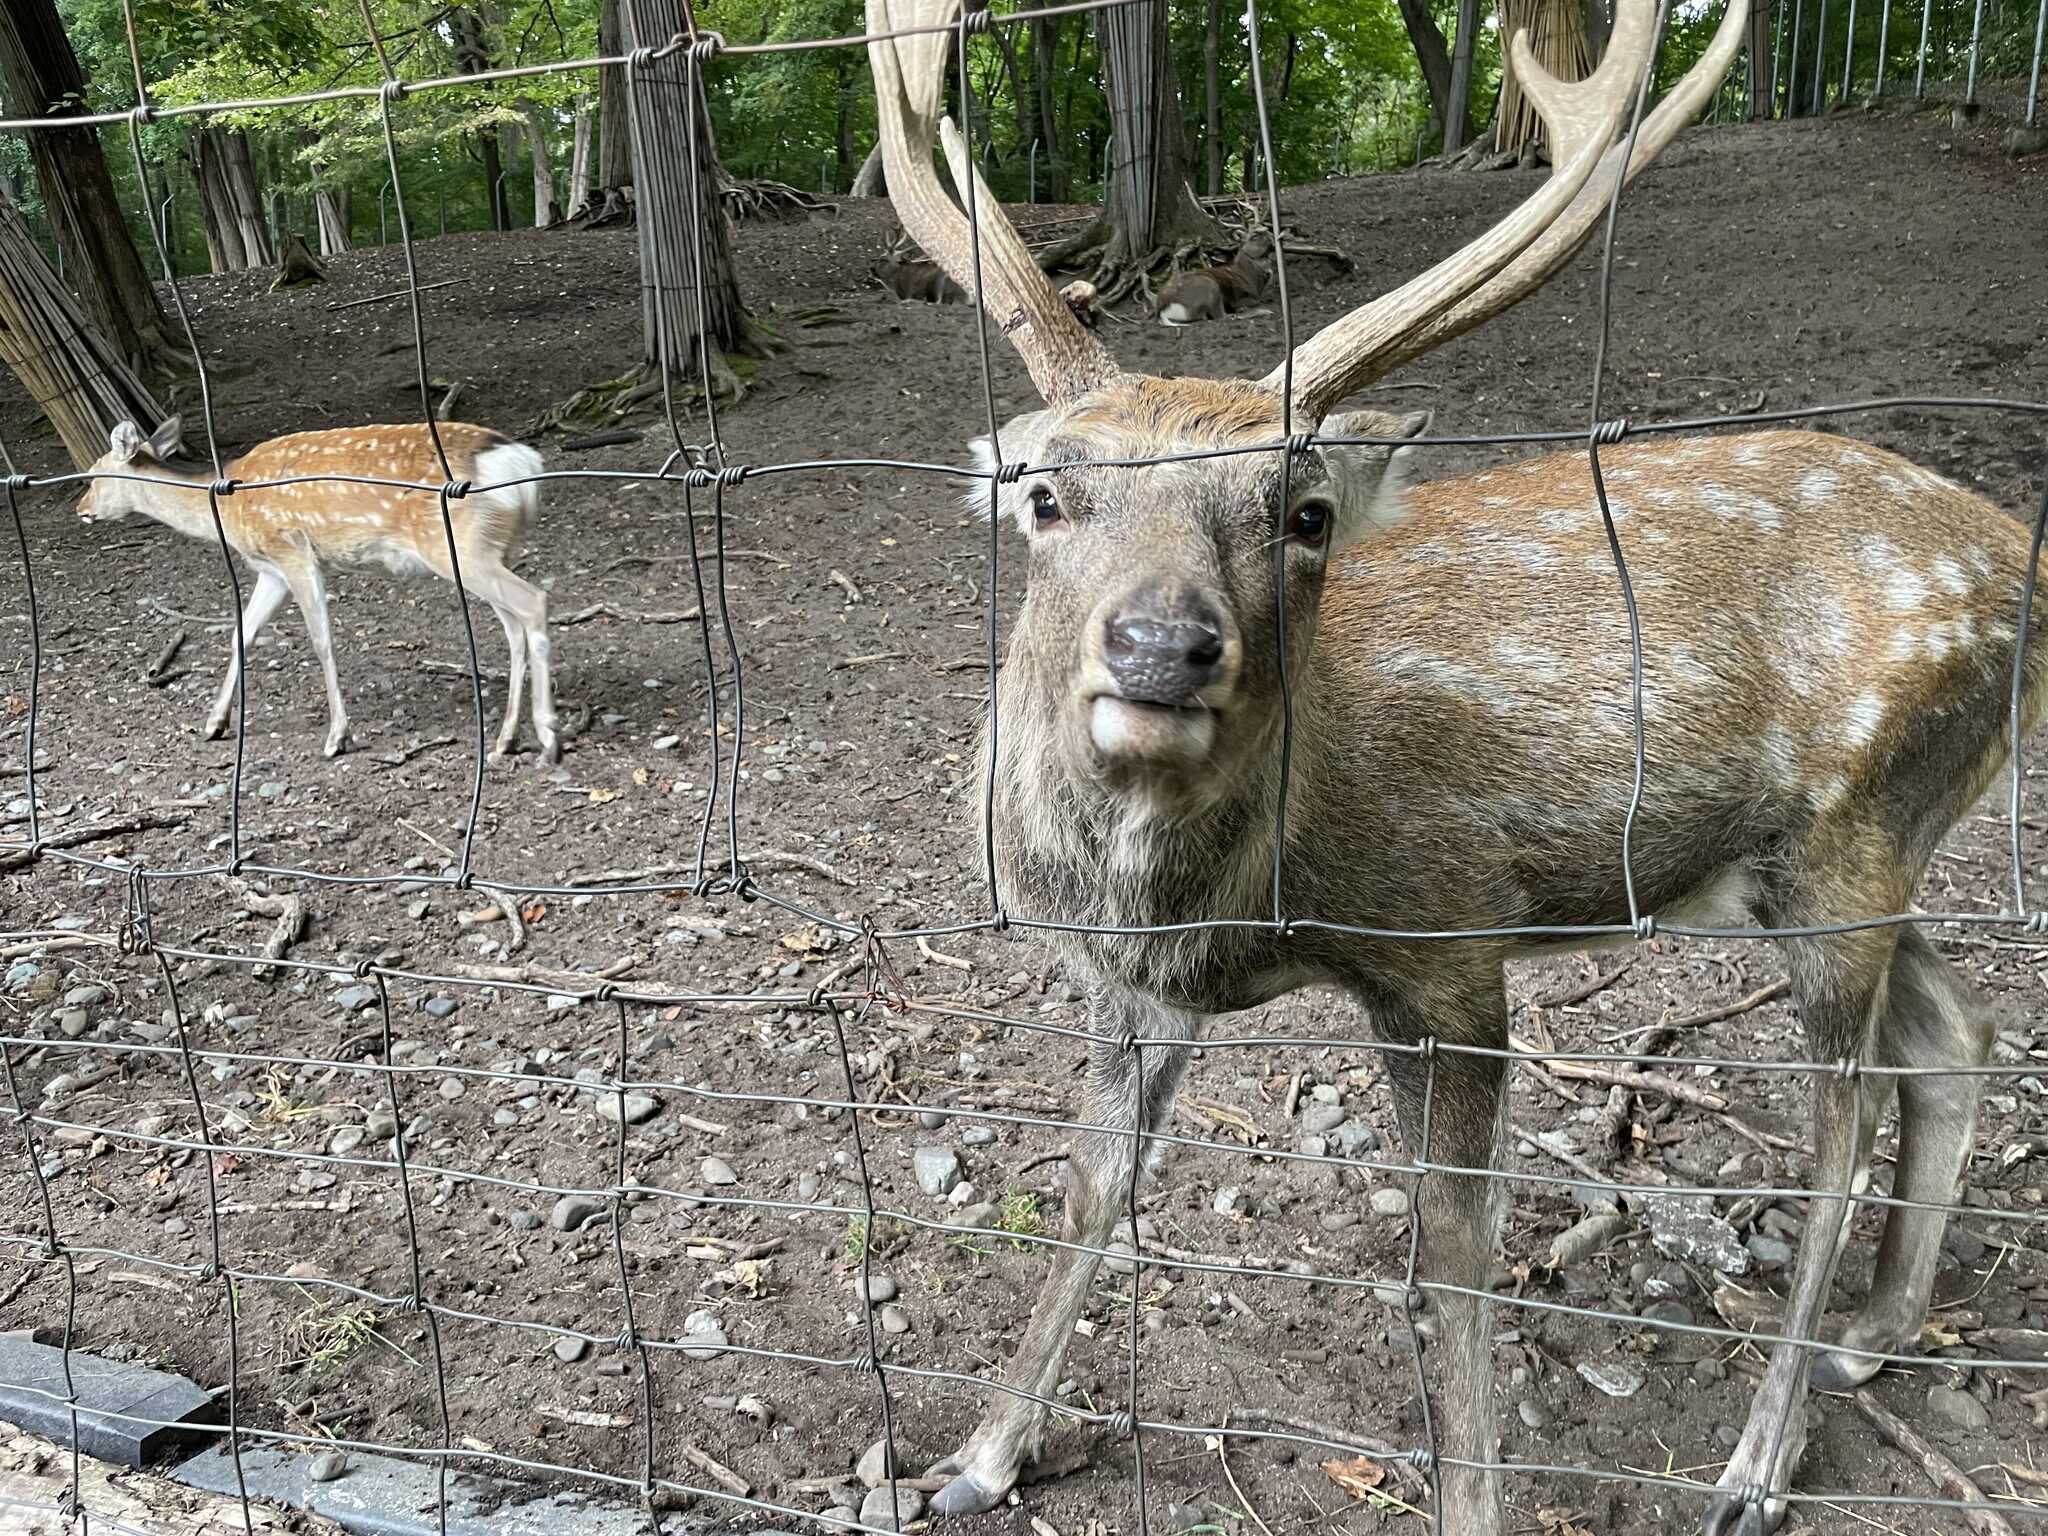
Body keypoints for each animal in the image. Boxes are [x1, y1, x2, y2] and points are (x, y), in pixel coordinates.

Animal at [78, 418, 560, 765]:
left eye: (95, 475)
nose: (80, 508)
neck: (227, 511)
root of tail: (521, 464)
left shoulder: (293, 552)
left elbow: (321, 640)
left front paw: (337, 737)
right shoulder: (270, 570)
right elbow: (241, 635)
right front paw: (214, 722)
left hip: (458, 546)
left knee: (534, 602)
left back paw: (548, 734)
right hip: (488, 550)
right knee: (513, 626)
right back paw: (506, 738)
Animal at [1146, 228, 1275, 325]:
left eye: (1267, 229)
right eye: (1254, 235)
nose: (1272, 237)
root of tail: (1162, 310)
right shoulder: (1239, 297)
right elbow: (1254, 302)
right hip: (1211, 285)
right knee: (1222, 316)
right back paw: (1264, 311)